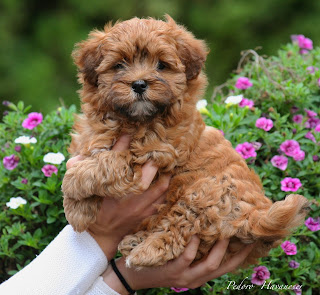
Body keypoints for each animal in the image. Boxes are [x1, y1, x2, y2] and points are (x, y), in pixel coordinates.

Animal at [61, 15, 308, 270]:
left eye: (161, 65)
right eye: (119, 65)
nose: (139, 84)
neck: (134, 120)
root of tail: (257, 216)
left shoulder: (157, 154)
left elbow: (109, 161)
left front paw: (72, 186)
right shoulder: (90, 139)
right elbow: (94, 154)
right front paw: (80, 210)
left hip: (206, 192)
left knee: (180, 226)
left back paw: (145, 251)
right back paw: (135, 242)